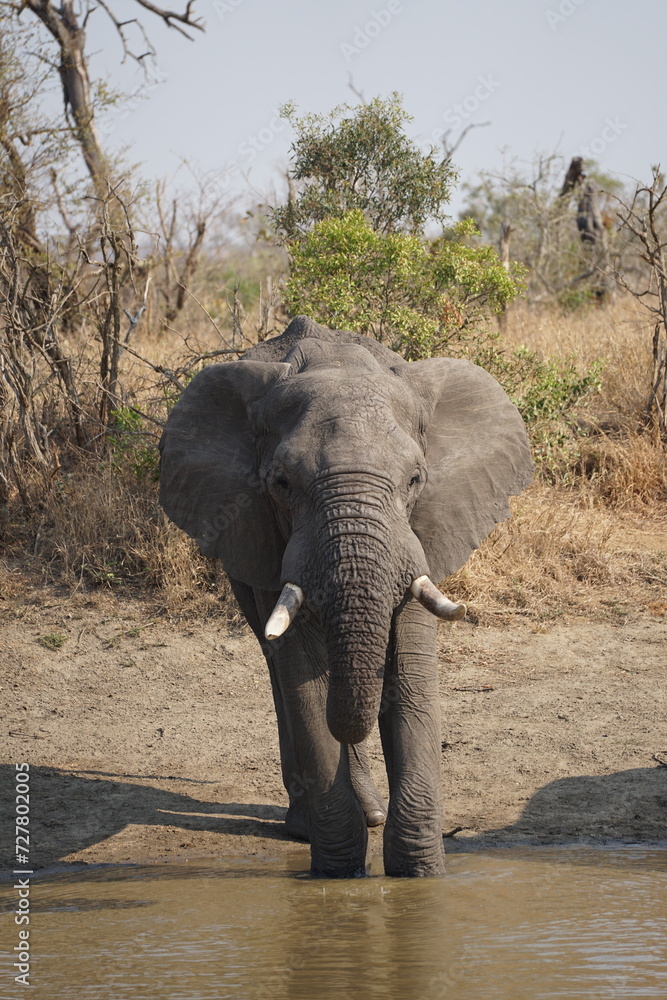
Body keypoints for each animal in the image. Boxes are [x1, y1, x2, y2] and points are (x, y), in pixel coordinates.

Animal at [158, 315, 533, 877]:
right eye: (282, 482)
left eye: (415, 479)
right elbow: (308, 685)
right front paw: (337, 874)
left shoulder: (421, 536)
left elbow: (412, 677)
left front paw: (418, 875)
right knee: (278, 668)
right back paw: (313, 823)